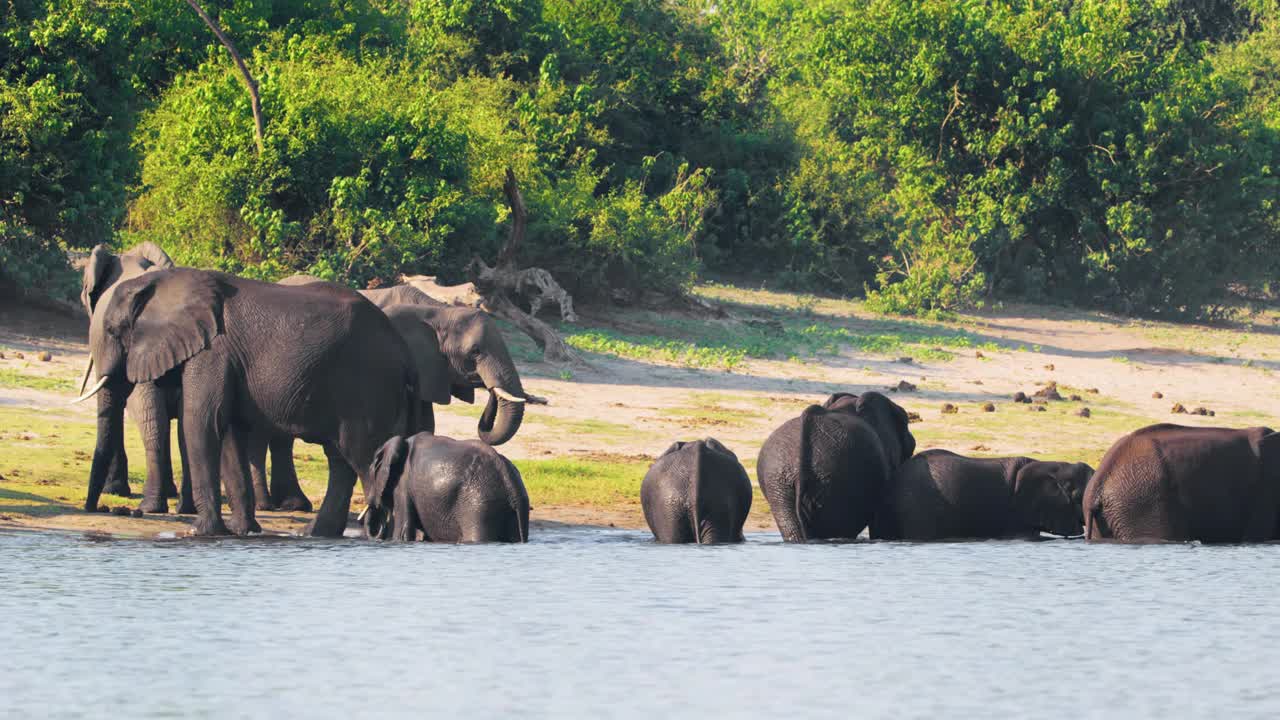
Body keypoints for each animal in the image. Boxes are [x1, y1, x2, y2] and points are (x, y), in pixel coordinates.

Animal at [77, 267, 414, 532]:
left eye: (112, 330)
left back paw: (380, 537)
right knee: (340, 460)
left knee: (363, 455)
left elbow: (201, 424)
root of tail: (402, 348)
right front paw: (243, 531)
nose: (97, 509)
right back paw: (316, 534)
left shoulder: (212, 352)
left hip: (366, 385)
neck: (164, 282)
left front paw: (201, 532)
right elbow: (229, 433)